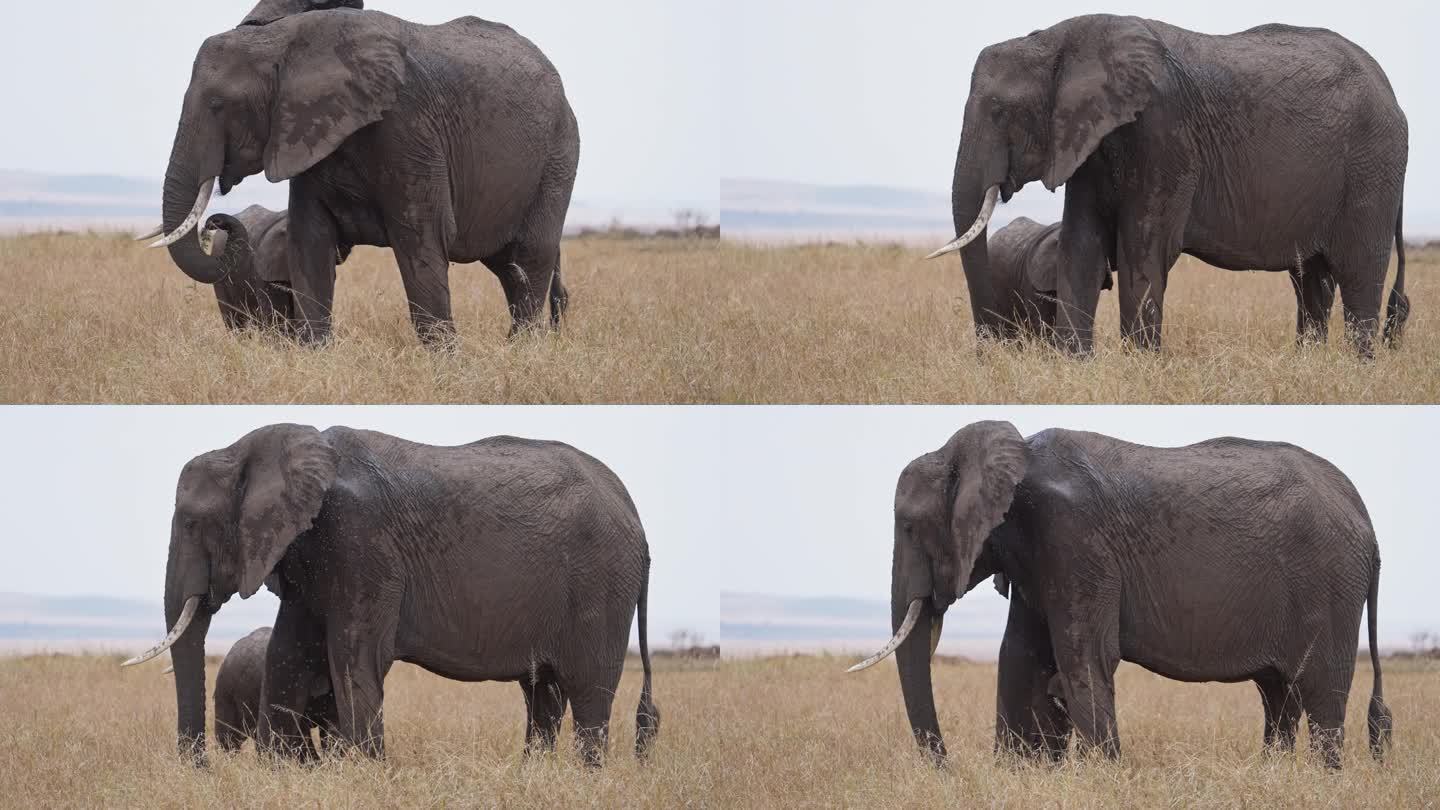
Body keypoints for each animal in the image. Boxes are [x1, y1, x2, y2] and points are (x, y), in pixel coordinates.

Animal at [123, 423, 659, 760]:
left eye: (193, 524)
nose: (203, 768)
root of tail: (634, 513)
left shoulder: (361, 543)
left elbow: (354, 661)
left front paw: (362, 774)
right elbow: (287, 657)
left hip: (601, 583)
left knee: (588, 694)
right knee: (542, 695)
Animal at [143, 9, 576, 343]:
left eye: (218, 105)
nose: (216, 221)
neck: (286, 42)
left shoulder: (410, 127)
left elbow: (422, 240)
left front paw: (447, 367)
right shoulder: (309, 132)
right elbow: (310, 242)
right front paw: (316, 358)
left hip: (559, 153)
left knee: (530, 258)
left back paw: (521, 352)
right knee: (509, 268)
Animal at [846, 417, 1388, 766]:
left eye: (909, 527)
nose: (949, 767)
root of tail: (1366, 518)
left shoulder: (1073, 537)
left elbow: (1083, 658)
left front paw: (1102, 776)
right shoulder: (1038, 556)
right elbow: (1019, 658)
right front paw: (1017, 775)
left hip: (1331, 586)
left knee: (1319, 692)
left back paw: (1322, 779)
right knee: (1278, 695)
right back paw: (1273, 773)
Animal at [927, 14, 1411, 355]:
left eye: (999, 112)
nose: (989, 354)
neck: (1057, 40)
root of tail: (1392, 93)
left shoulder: (1163, 133)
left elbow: (1142, 251)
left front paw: (1138, 367)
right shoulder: (1090, 143)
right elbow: (1080, 246)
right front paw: (1075, 365)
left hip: (1373, 167)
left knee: (1359, 275)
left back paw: (1357, 368)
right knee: (1310, 280)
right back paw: (1309, 364)